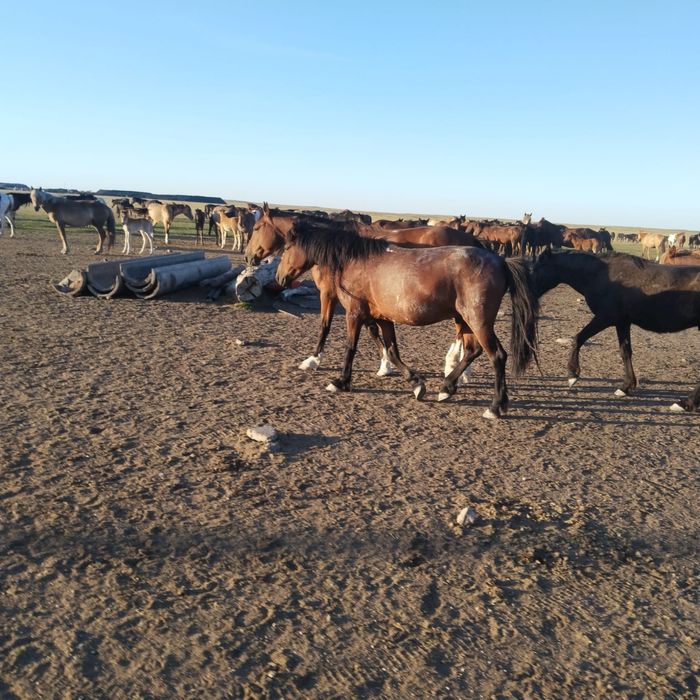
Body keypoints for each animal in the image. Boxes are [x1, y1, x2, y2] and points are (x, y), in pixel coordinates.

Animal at [275, 220, 539, 419]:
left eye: (286, 249)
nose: (279, 278)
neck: (356, 261)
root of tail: (500, 261)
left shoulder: (354, 313)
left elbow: (350, 348)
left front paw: (341, 381)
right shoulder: (383, 319)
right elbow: (392, 352)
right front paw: (416, 383)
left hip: (478, 321)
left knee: (497, 356)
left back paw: (495, 406)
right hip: (465, 321)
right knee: (472, 351)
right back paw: (447, 387)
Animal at [532, 250, 700, 412]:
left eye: (535, 269)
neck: (601, 275)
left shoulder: (605, 318)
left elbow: (578, 339)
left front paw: (572, 375)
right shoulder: (622, 322)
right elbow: (625, 352)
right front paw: (626, 387)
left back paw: (685, 403)